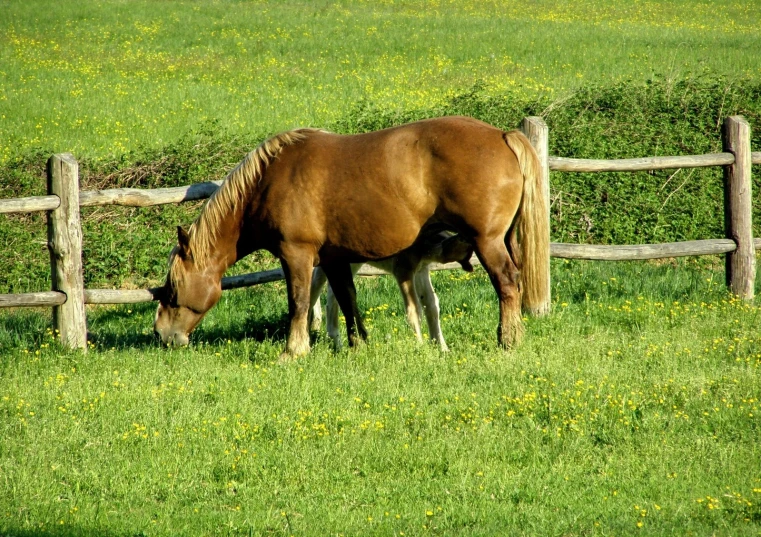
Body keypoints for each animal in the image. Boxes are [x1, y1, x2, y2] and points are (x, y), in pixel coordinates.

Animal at [310, 231, 476, 352]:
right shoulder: (402, 269)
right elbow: (413, 309)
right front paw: (420, 347)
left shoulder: (421, 269)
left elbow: (431, 304)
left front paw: (442, 348)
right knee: (315, 285)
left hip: (352, 262)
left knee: (335, 293)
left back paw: (336, 341)